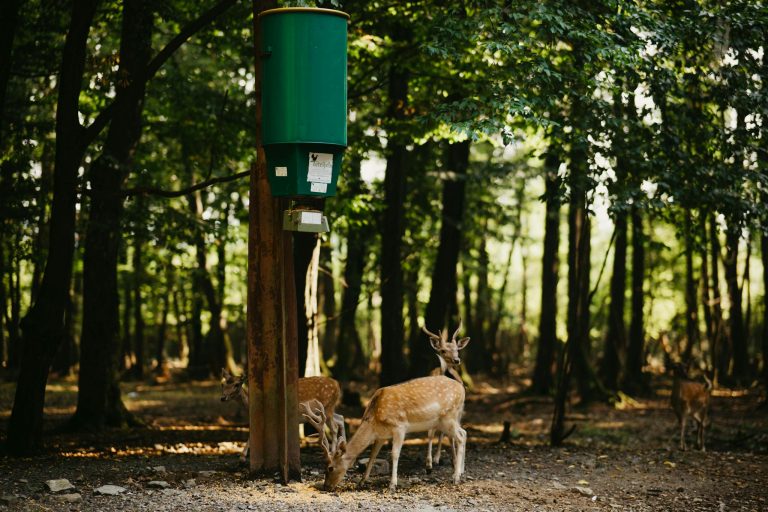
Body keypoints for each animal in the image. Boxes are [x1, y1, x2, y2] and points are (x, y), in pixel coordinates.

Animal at [301, 375, 467, 492]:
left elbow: (394, 454)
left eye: (330, 468)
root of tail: (463, 389)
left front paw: (392, 485)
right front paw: (362, 481)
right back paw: (460, 472)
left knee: (460, 436)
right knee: (464, 433)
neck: (374, 420)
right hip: (448, 419)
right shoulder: (380, 436)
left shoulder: (399, 427)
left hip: (449, 417)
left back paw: (456, 477)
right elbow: (373, 455)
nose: (326, 487)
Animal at [423, 320, 470, 472]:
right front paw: (428, 464)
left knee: (449, 433)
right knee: (442, 431)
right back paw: (437, 459)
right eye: (443, 350)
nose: (456, 360)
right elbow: (430, 433)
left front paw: (454, 461)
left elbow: (450, 436)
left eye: (457, 349)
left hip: (458, 410)